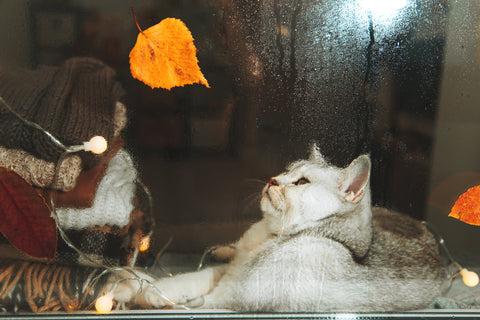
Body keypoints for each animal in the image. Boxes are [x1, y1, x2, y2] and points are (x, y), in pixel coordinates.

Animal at [109, 146, 446, 312]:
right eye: (287, 170)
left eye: (302, 181)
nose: (273, 179)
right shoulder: (228, 273)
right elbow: (186, 279)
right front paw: (135, 284)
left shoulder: (229, 295)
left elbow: (180, 296)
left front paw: (135, 291)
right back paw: (222, 248)